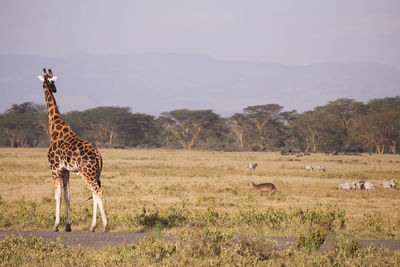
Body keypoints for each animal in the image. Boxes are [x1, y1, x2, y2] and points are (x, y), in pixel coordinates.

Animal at [36, 68, 106, 232]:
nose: (55, 89)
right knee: (95, 192)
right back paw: (92, 226)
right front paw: (68, 226)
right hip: (94, 173)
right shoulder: (65, 170)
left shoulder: (54, 167)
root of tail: (99, 157)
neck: (54, 129)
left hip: (86, 173)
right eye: (52, 82)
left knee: (97, 191)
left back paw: (105, 226)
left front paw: (55, 225)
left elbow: (58, 195)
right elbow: (68, 195)